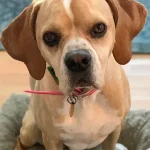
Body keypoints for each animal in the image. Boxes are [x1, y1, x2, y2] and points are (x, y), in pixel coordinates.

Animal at [0, 0, 148, 149]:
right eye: (50, 37)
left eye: (99, 28)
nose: (78, 60)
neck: (83, 97)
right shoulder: (51, 139)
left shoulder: (114, 132)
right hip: (30, 130)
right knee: (19, 140)